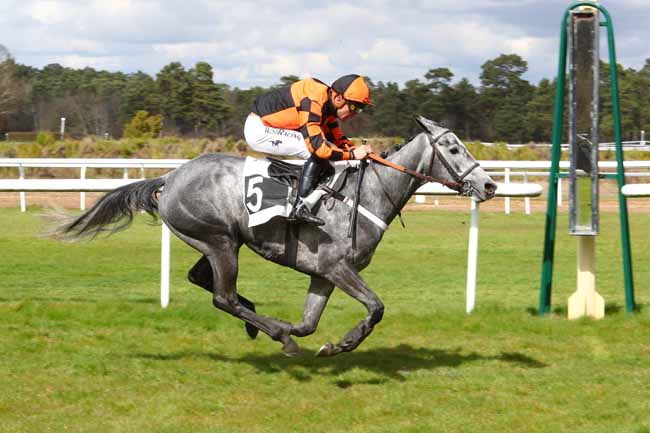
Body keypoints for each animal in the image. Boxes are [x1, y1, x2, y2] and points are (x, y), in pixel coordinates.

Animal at [55, 116, 496, 357]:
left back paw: (262, 325)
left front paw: (320, 342)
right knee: (224, 297)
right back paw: (270, 330)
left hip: (215, 240)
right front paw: (342, 343)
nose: (490, 185)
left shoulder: (323, 274)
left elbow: (309, 324)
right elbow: (375, 308)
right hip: (220, 242)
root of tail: (171, 175)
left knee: (203, 281)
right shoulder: (337, 267)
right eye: (453, 149)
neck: (368, 193)